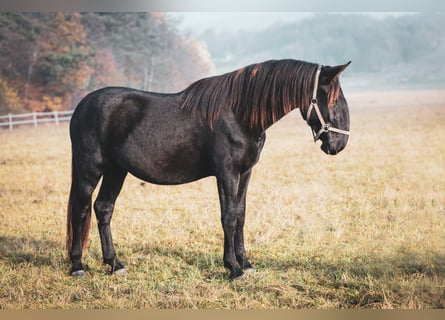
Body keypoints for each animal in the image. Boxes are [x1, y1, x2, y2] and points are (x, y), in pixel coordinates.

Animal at [67, 58, 350, 278]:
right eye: (332, 101)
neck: (239, 114)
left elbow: (241, 214)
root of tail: (81, 106)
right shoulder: (226, 173)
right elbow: (228, 216)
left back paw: (115, 264)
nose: (340, 144)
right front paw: (233, 268)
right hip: (90, 169)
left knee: (103, 208)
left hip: (117, 170)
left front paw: (246, 263)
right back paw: (77, 266)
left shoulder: (245, 173)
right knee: (81, 209)